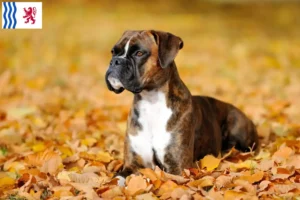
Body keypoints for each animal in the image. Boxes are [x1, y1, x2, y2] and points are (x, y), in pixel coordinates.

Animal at [105, 29, 258, 184]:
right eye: (113, 52)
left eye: (139, 53)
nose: (115, 61)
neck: (151, 101)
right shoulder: (131, 165)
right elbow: (116, 179)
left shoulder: (178, 168)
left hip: (236, 124)